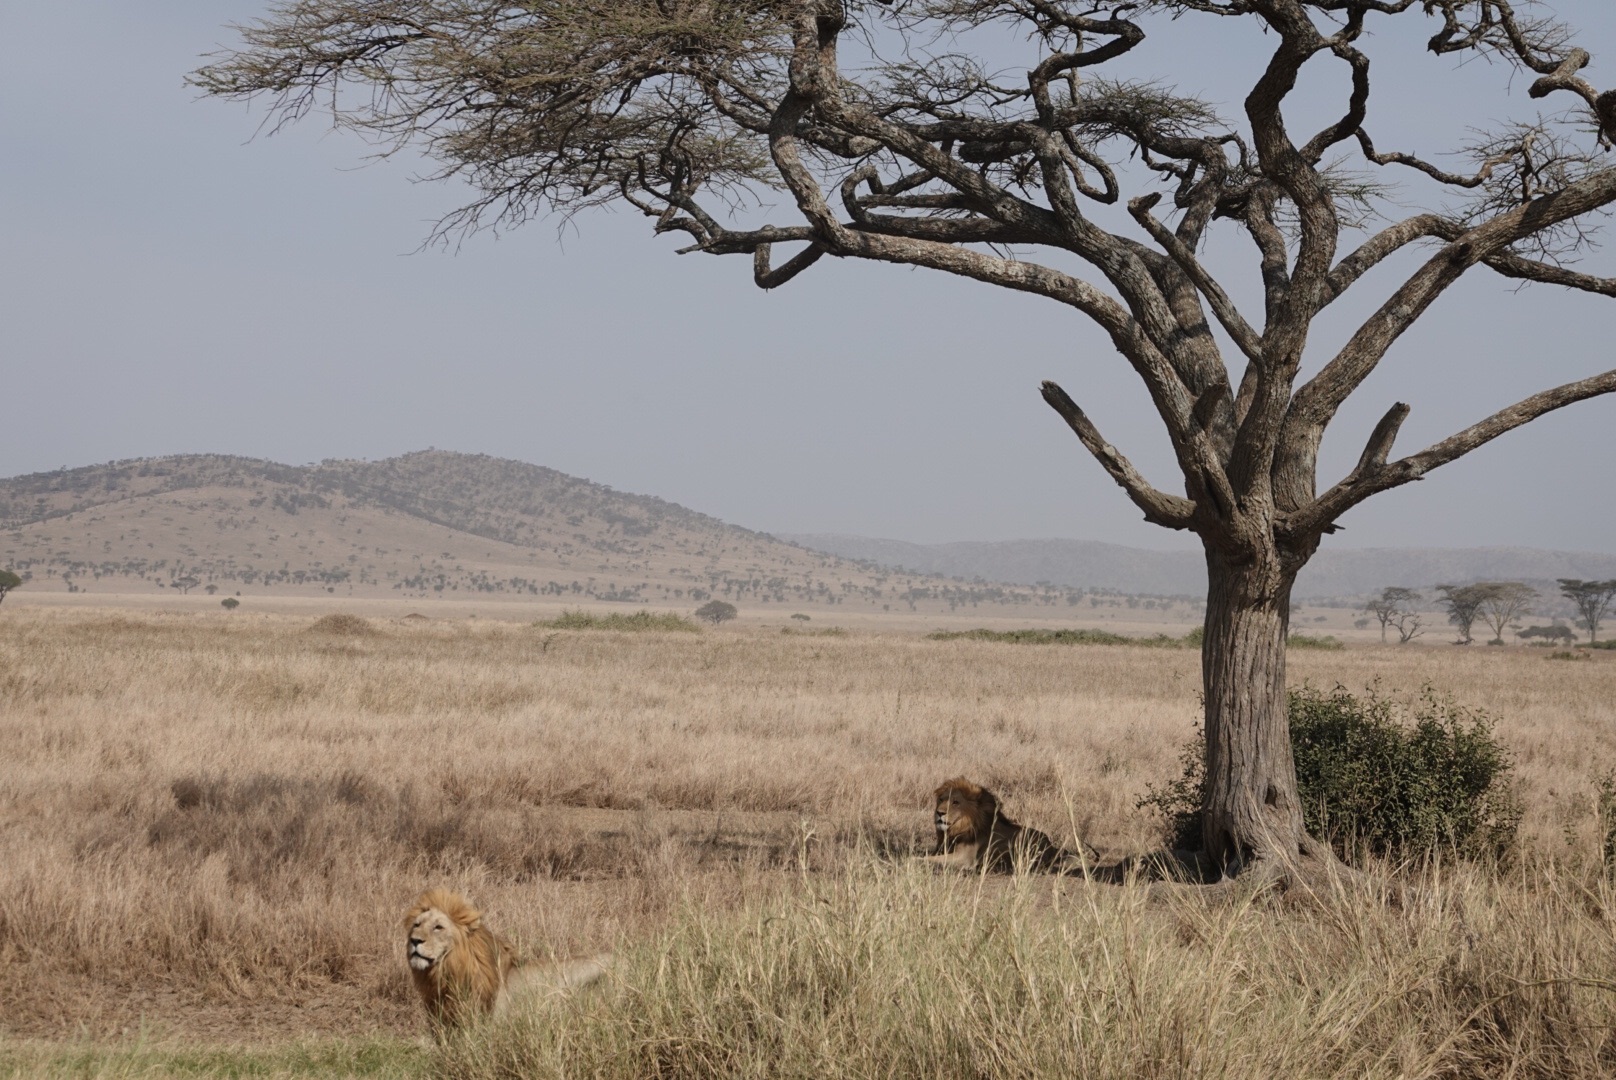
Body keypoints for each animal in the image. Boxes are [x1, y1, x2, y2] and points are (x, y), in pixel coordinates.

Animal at [924, 772, 1098, 873]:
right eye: (941, 799)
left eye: (955, 802)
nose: (939, 813)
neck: (956, 830)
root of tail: (1051, 845)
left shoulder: (964, 858)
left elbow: (929, 859)